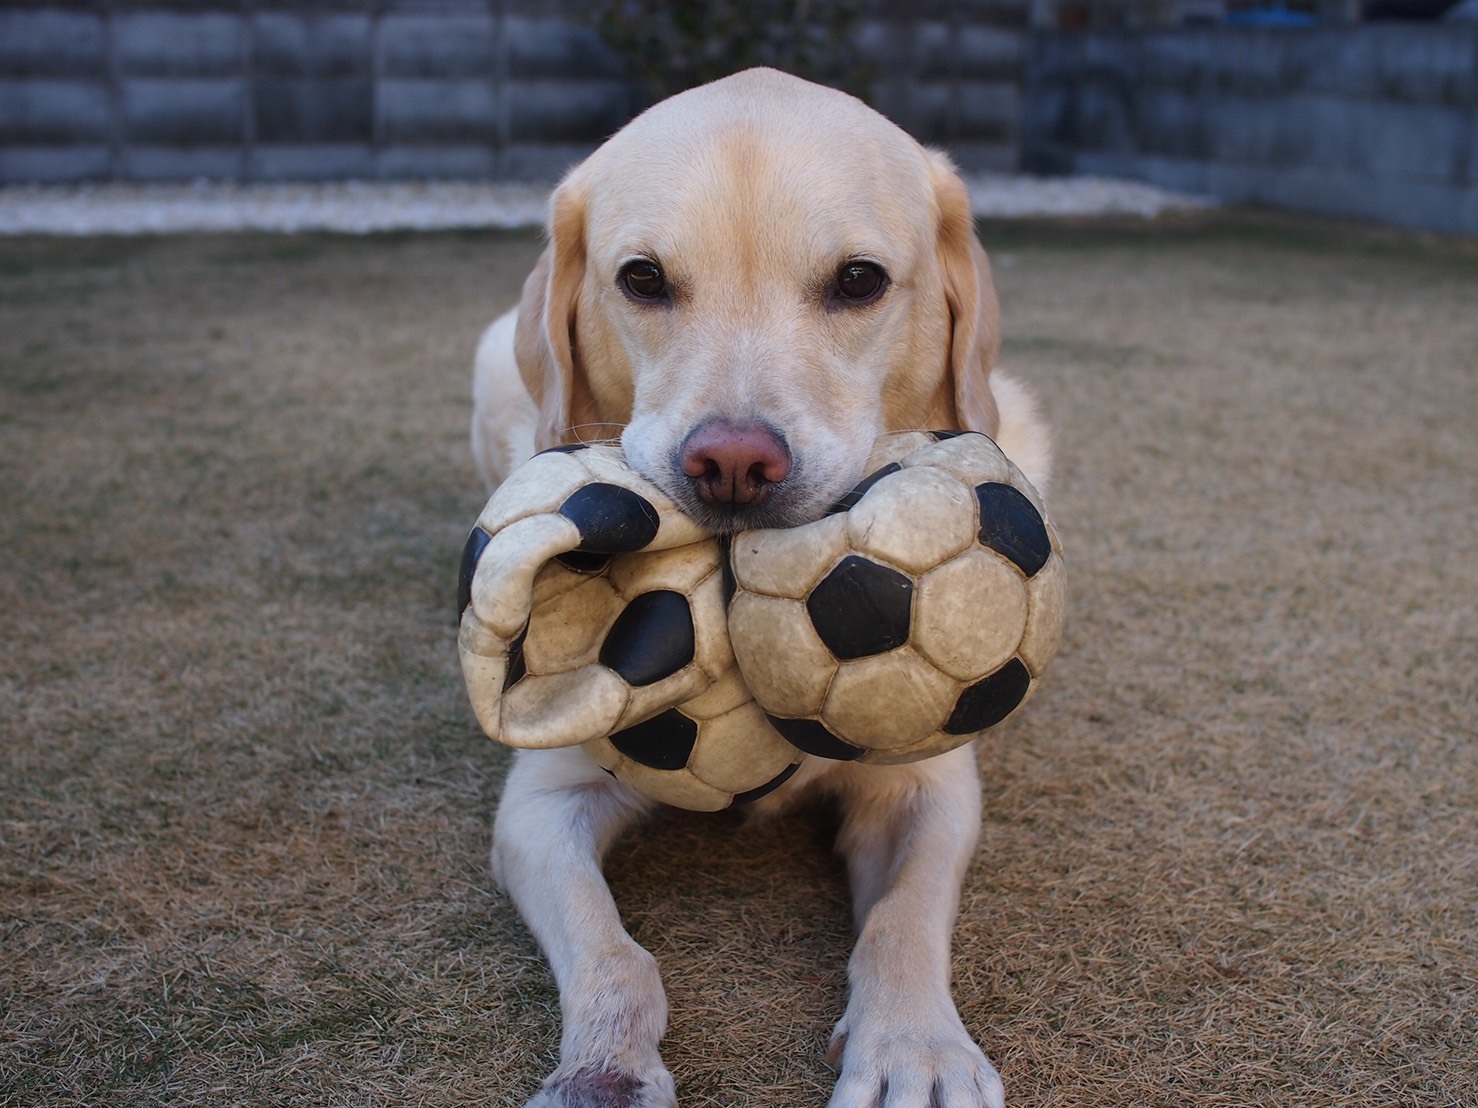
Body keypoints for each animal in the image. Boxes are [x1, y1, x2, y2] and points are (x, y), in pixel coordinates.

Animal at [472, 67, 1052, 1108]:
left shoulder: (930, 787)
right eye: (643, 279)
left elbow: (904, 922)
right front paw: (604, 1070)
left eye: (859, 280)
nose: (733, 464)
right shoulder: (543, 801)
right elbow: (615, 958)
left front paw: (916, 1047)